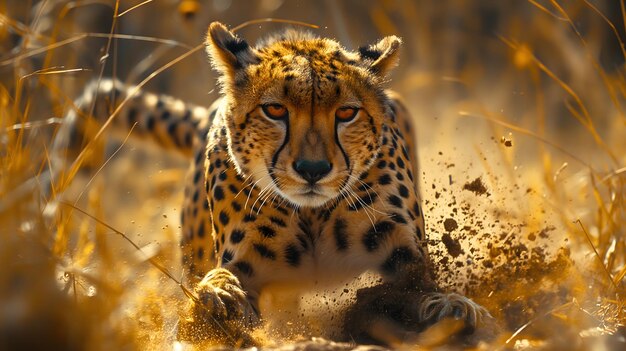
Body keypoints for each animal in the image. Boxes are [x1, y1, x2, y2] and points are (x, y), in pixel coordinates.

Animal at [53, 23, 490, 348]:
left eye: (346, 113)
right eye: (275, 110)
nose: (313, 169)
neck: (314, 214)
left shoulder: (405, 262)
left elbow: (421, 289)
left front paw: (451, 307)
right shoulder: (244, 266)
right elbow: (221, 284)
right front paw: (219, 297)